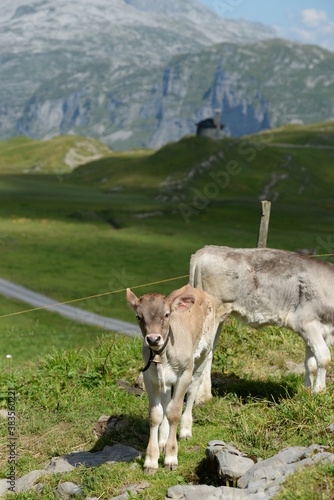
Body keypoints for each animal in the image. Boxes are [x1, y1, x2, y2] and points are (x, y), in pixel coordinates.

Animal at [190, 245, 334, 394]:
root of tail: (209, 249)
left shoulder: (317, 330)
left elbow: (311, 364)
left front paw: (307, 392)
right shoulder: (305, 323)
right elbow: (324, 358)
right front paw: (319, 391)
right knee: (204, 352)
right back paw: (203, 396)